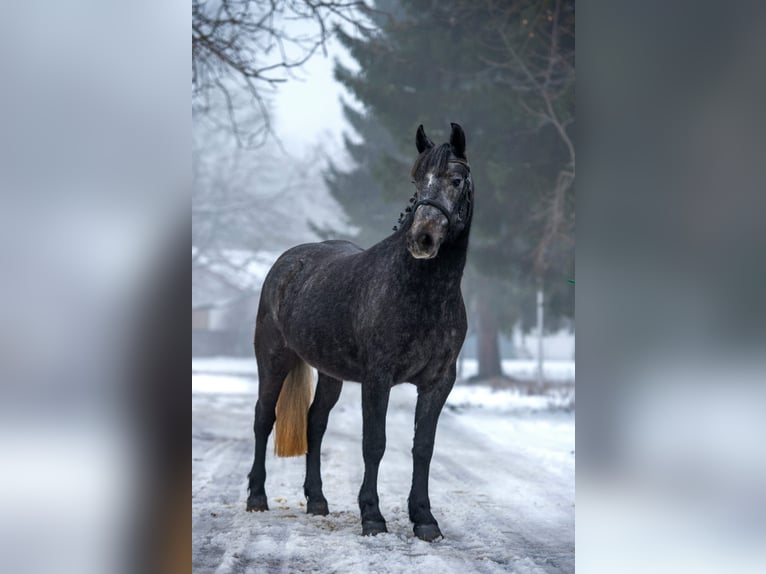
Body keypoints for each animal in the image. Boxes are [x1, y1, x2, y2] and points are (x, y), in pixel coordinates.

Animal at [246, 123, 474, 542]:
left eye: (456, 179)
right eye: (416, 180)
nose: (422, 240)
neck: (423, 293)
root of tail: (286, 263)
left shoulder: (439, 382)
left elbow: (423, 447)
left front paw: (424, 519)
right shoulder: (377, 379)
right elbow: (375, 444)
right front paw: (372, 516)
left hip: (330, 374)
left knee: (315, 423)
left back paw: (317, 501)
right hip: (273, 360)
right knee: (263, 418)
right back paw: (256, 497)